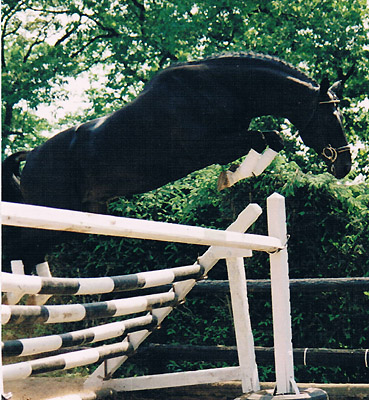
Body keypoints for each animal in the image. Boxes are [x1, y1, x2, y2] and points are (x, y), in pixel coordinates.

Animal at [1, 53, 350, 274]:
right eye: (330, 119)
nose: (345, 165)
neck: (222, 90)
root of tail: (30, 157)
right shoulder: (207, 148)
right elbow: (267, 138)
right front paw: (233, 177)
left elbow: (269, 141)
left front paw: (235, 176)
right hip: (54, 214)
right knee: (18, 245)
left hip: (75, 221)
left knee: (29, 249)